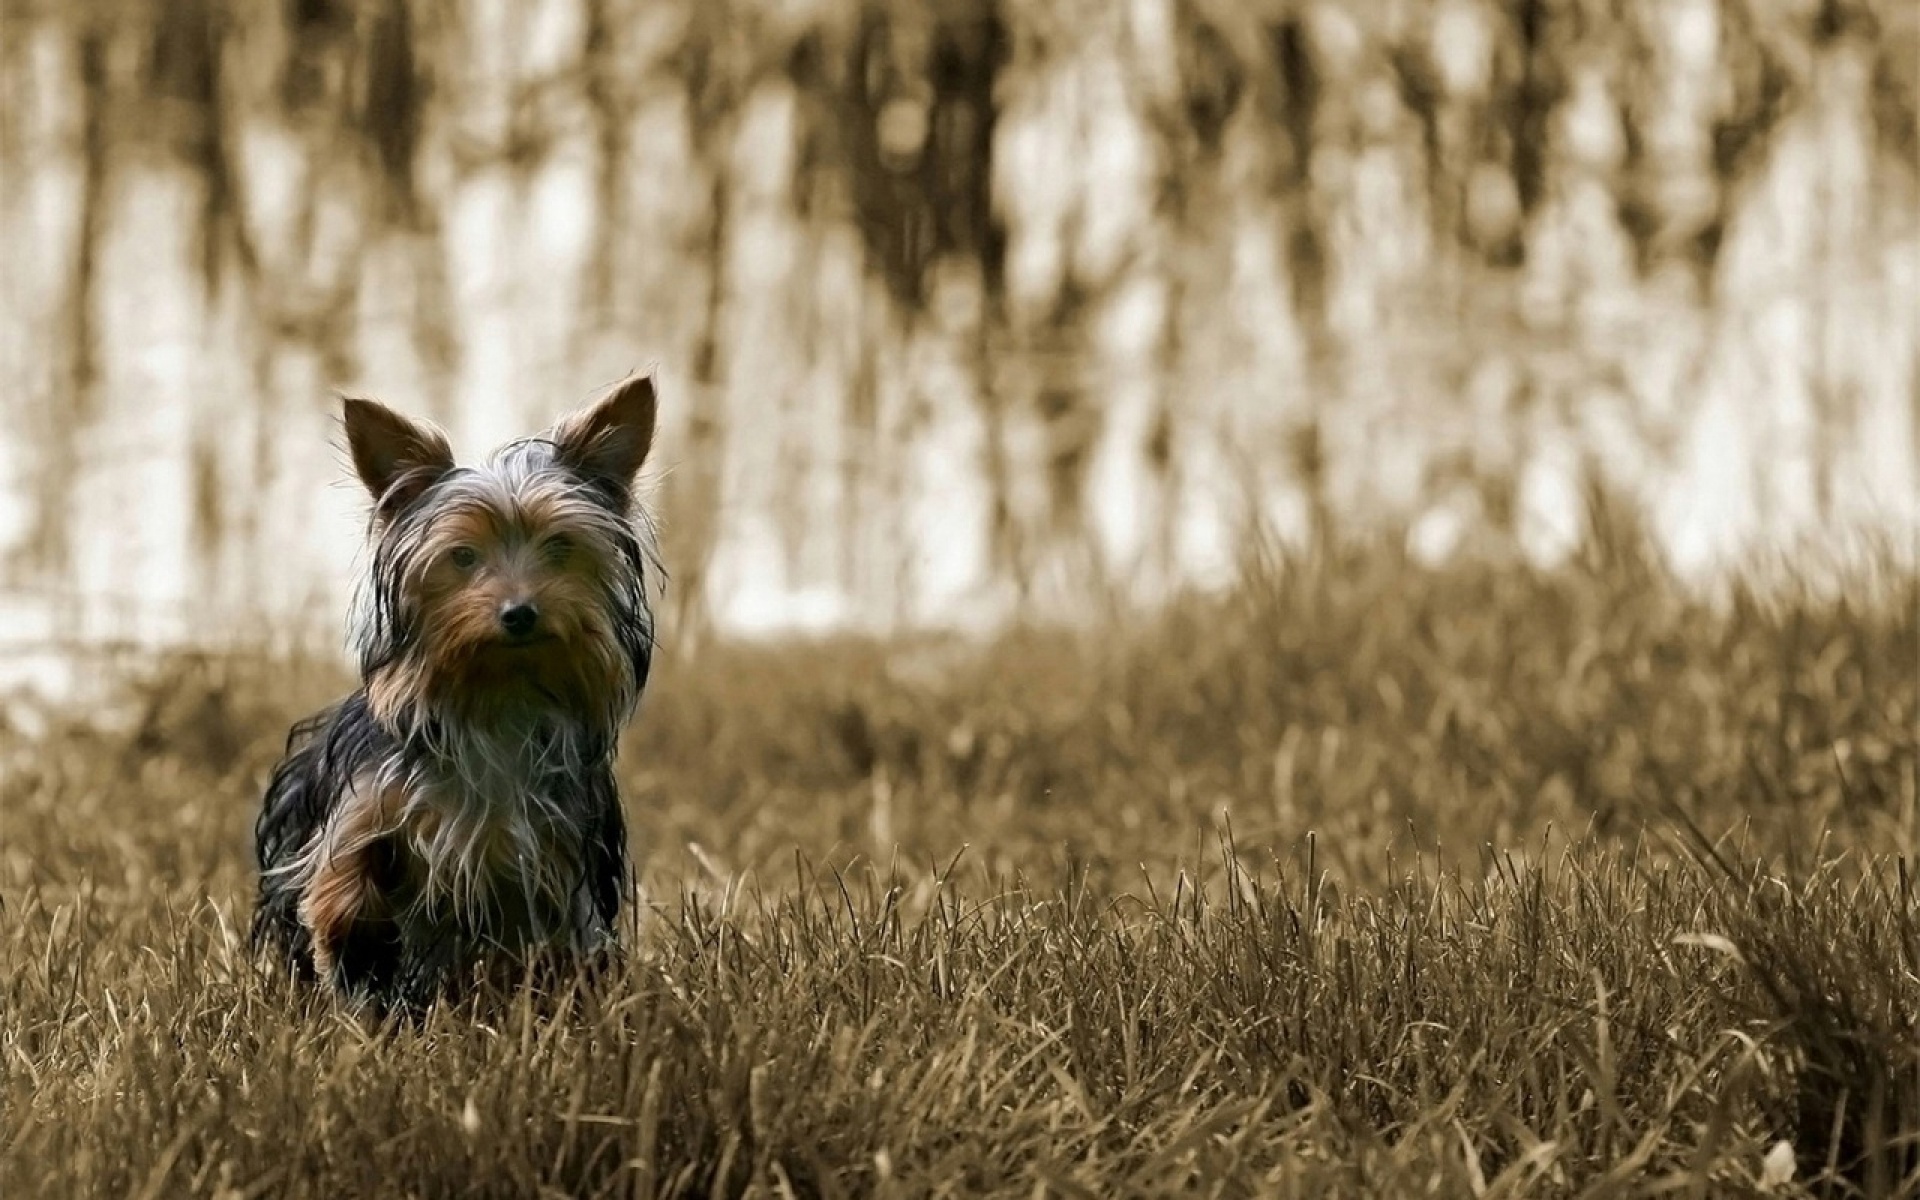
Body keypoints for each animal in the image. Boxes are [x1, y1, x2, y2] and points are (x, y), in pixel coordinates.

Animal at [255, 376, 660, 1013]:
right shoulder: (368, 801)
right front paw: (356, 941)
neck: (498, 696)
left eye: (560, 548)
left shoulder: (558, 850)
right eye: (463, 556)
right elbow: (344, 871)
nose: (519, 612)